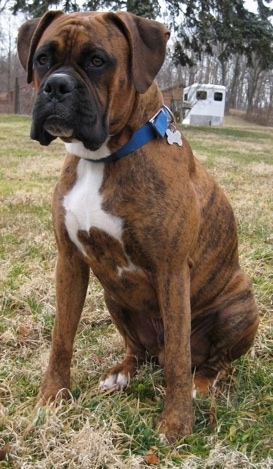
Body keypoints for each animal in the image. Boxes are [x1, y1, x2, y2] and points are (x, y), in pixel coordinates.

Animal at [17, 11, 258, 442]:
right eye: (43, 58)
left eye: (98, 60)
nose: (57, 86)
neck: (102, 157)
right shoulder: (70, 262)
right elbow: (61, 338)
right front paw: (51, 398)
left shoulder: (171, 270)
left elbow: (178, 357)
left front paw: (175, 425)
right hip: (115, 297)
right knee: (140, 350)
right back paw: (121, 373)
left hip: (243, 306)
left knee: (205, 362)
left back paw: (201, 385)